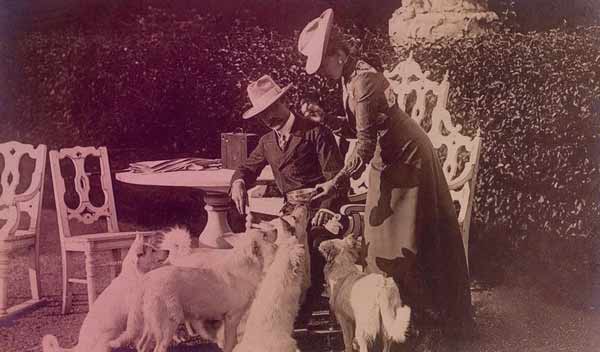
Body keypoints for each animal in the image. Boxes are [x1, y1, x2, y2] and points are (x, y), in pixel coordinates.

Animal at [109, 231, 276, 352]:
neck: (245, 264)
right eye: (264, 235)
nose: (275, 229)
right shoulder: (232, 318)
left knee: (141, 346)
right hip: (168, 326)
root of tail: (147, 279)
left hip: (151, 325)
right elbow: (230, 343)